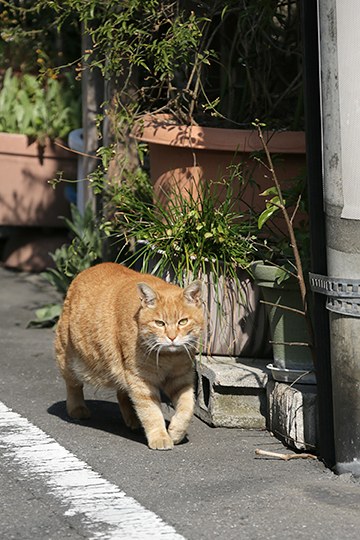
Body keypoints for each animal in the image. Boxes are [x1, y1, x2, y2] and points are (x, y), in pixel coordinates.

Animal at [54, 264, 204, 450]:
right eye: (159, 323)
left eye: (183, 322)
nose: (172, 337)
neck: (168, 357)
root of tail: (86, 270)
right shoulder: (141, 380)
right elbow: (151, 412)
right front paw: (160, 437)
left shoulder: (181, 379)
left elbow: (186, 408)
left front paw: (176, 432)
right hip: (69, 360)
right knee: (73, 385)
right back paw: (77, 409)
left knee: (122, 394)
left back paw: (134, 421)